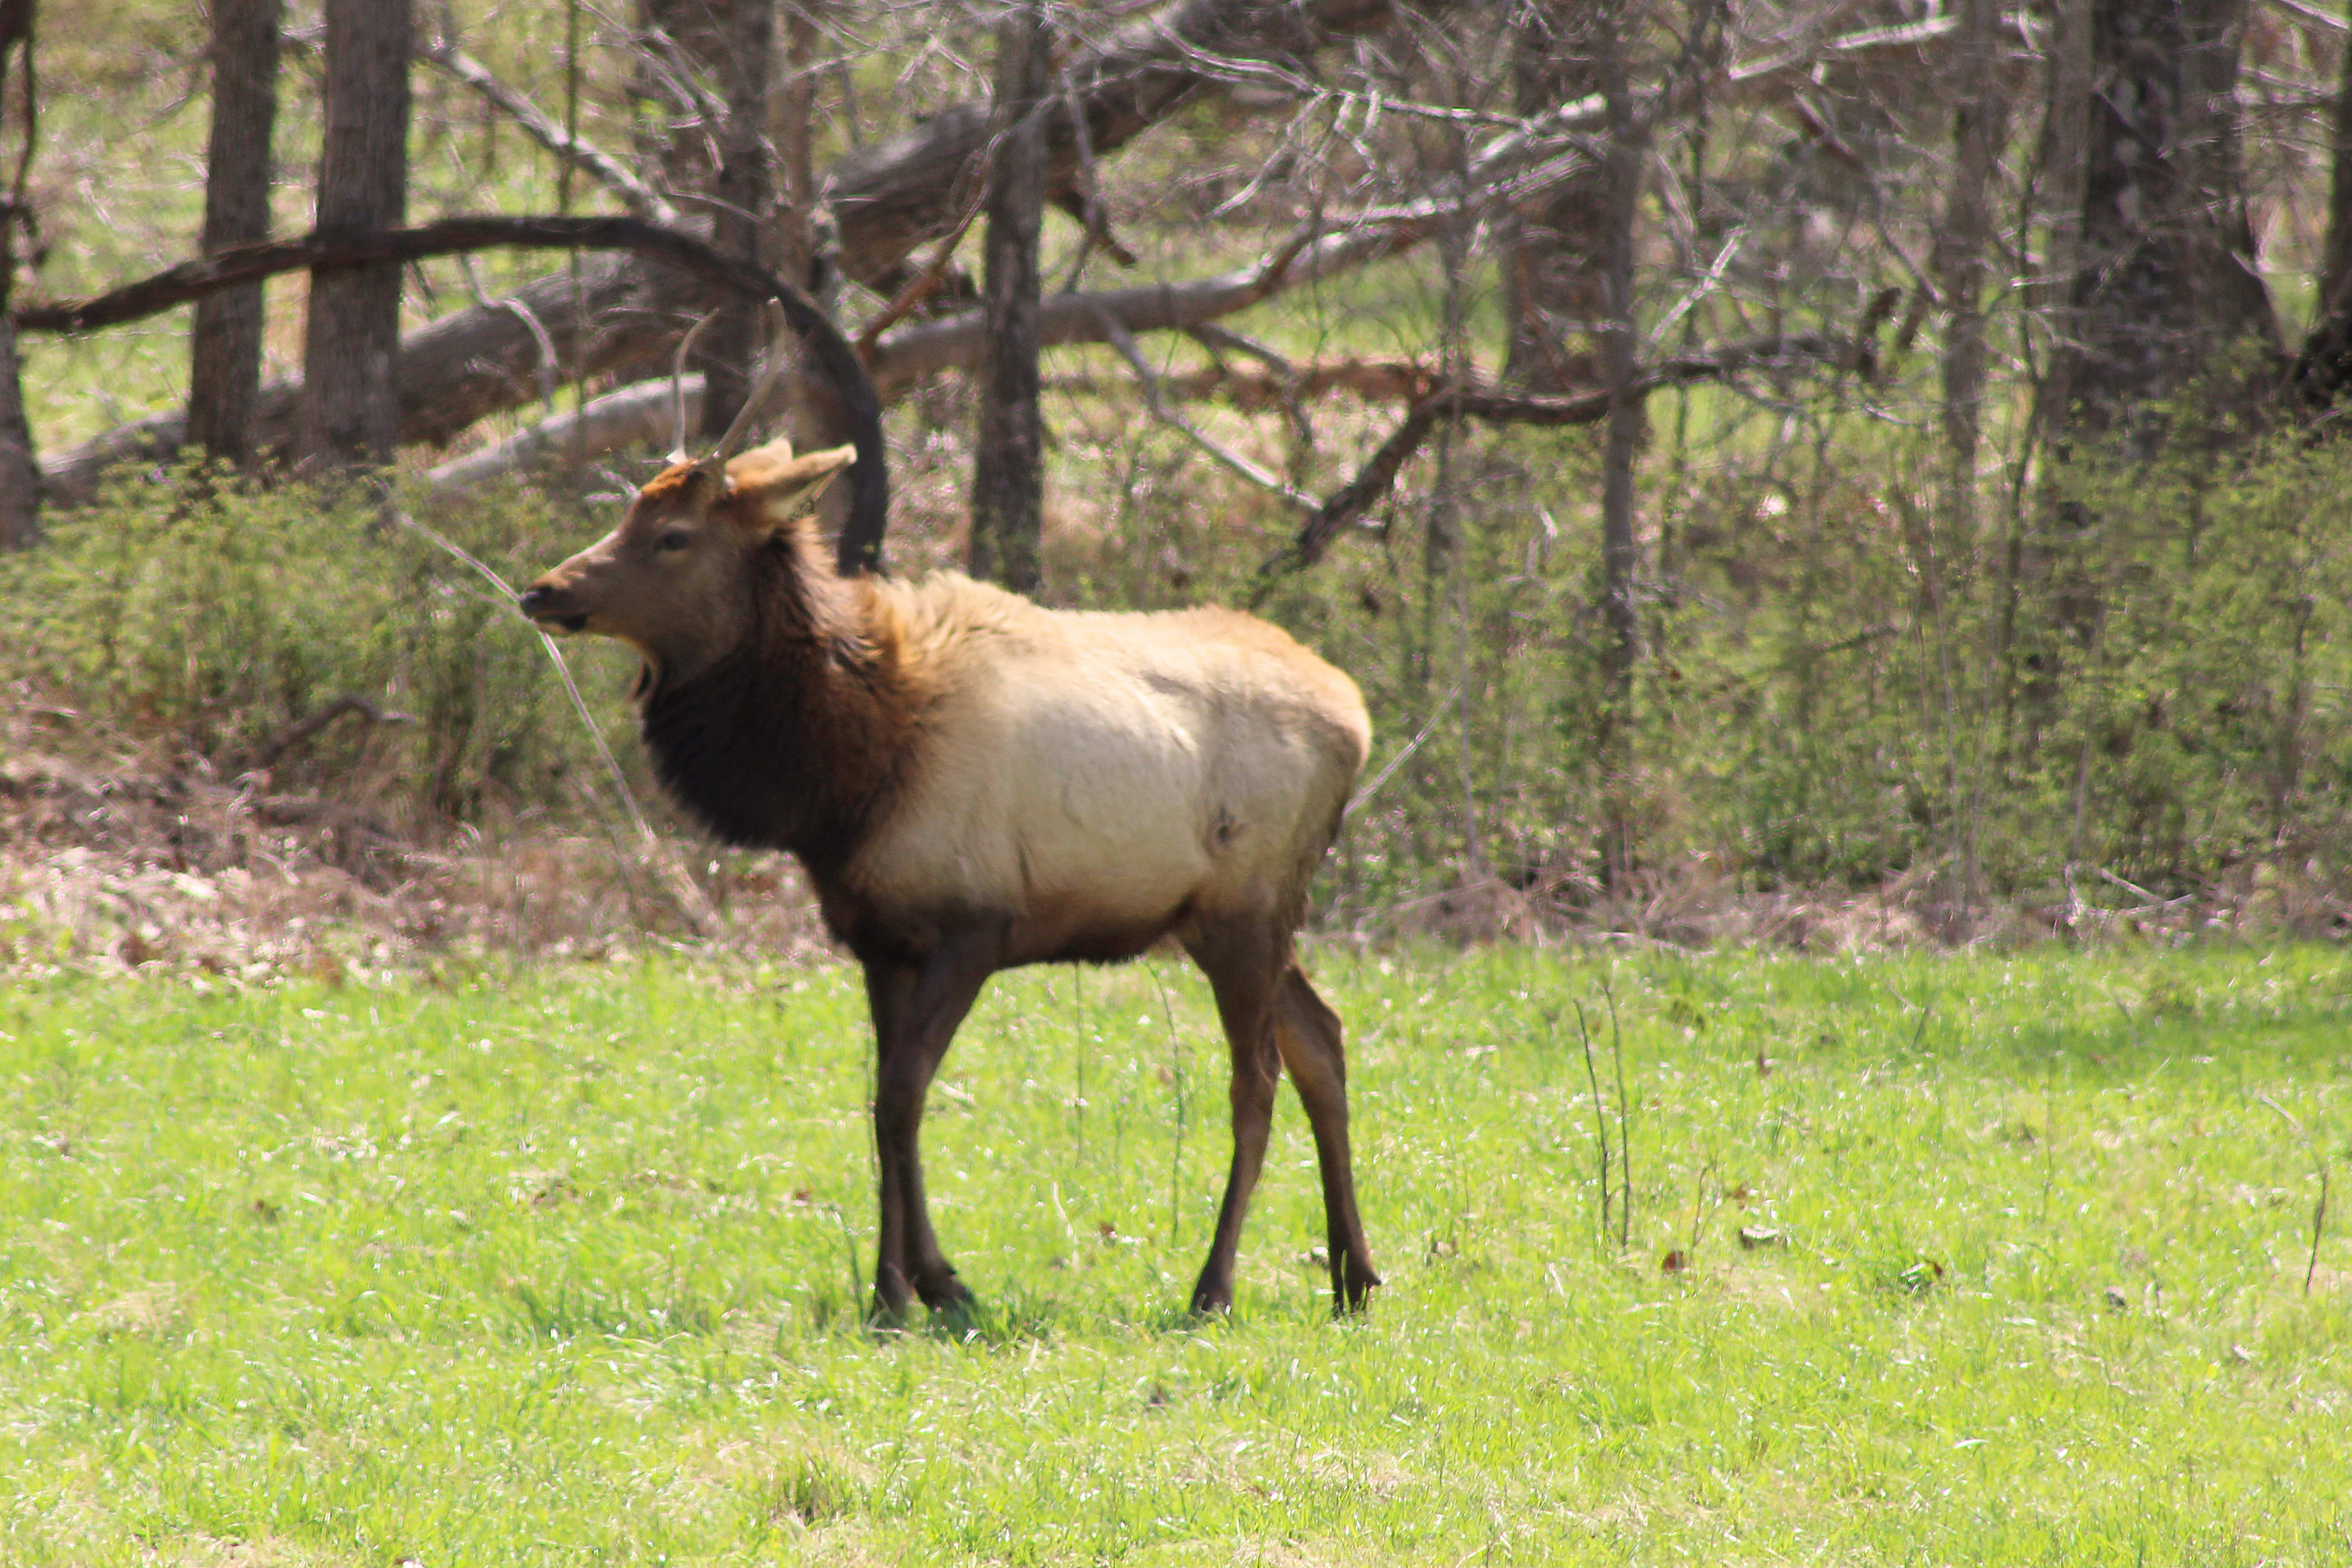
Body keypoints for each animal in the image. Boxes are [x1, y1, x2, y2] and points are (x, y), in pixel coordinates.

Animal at [516, 299, 1379, 1321]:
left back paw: (1214, 1284)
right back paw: (1354, 1273)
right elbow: (882, 1102)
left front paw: (930, 1282)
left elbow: (900, 1096)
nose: (542, 590)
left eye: (675, 534)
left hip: (1243, 910)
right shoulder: (879, 937)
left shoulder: (976, 922)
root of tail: (1357, 717)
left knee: (1259, 1077)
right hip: (1233, 920)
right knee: (1322, 1041)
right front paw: (895, 1288)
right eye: (629, 512)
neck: (843, 774)